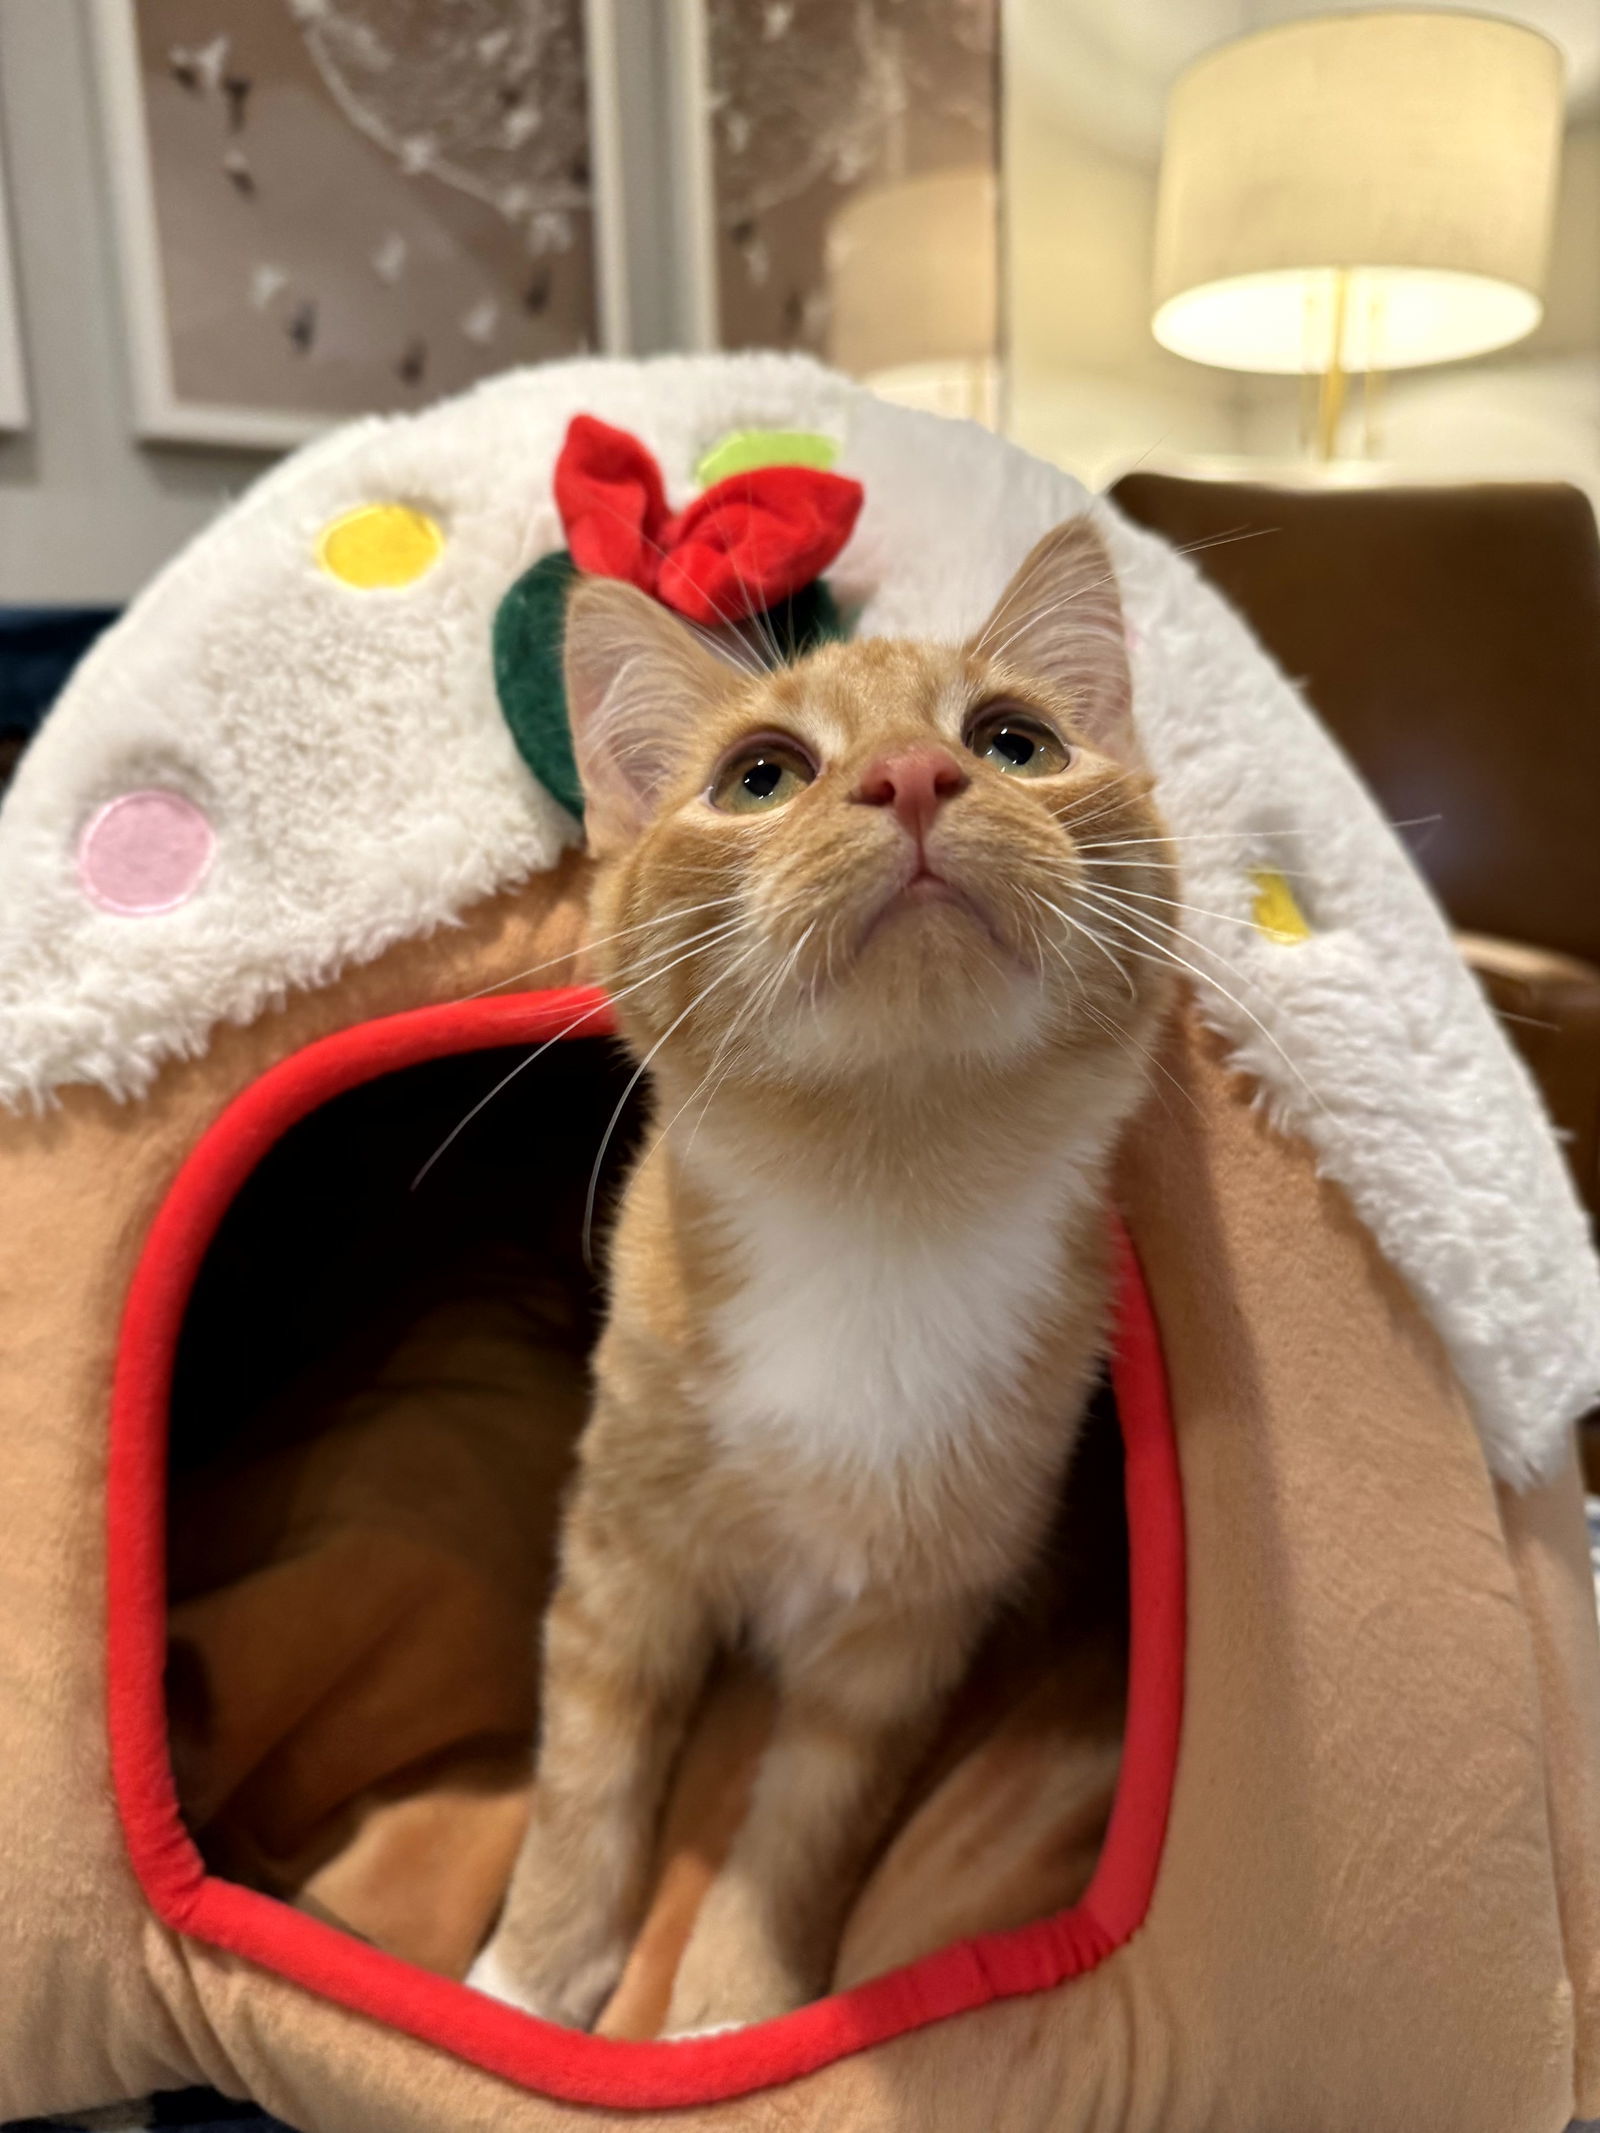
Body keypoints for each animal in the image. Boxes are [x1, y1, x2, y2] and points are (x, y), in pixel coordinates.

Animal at [467, 511, 1177, 2030]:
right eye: (760, 775)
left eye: (1017, 741)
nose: (912, 775)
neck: (878, 1217)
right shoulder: (624, 1548)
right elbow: (587, 1762)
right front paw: (531, 1974)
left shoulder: (913, 1627)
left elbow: (806, 1815)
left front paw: (735, 2001)